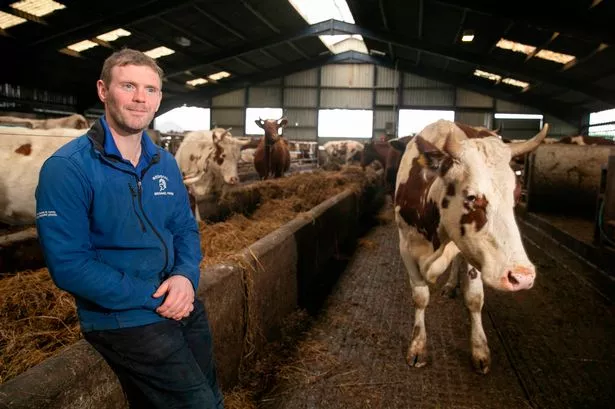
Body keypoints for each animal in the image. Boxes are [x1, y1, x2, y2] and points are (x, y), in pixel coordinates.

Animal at [398, 117, 552, 372]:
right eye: (471, 197)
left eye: (516, 196)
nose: (522, 277)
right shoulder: (405, 246)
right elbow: (420, 296)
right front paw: (417, 346)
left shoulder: (476, 254)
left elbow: (474, 299)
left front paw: (480, 350)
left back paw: (451, 285)